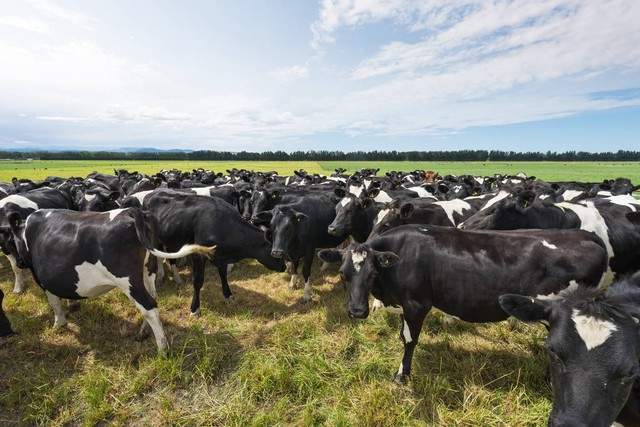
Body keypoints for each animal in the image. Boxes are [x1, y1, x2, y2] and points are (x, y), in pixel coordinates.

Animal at [1, 208, 218, 354]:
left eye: (10, 242)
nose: (19, 263)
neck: (26, 231)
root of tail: (131, 212)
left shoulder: (42, 278)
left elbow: (54, 302)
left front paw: (59, 324)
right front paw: (71, 306)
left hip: (128, 281)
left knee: (149, 307)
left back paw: (163, 350)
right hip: (147, 272)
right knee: (153, 300)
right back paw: (143, 332)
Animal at [318, 227, 608, 384]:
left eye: (372, 274)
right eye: (343, 274)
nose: (357, 311)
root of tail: (586, 235)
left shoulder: (416, 303)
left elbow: (409, 340)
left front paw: (402, 374)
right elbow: (403, 335)